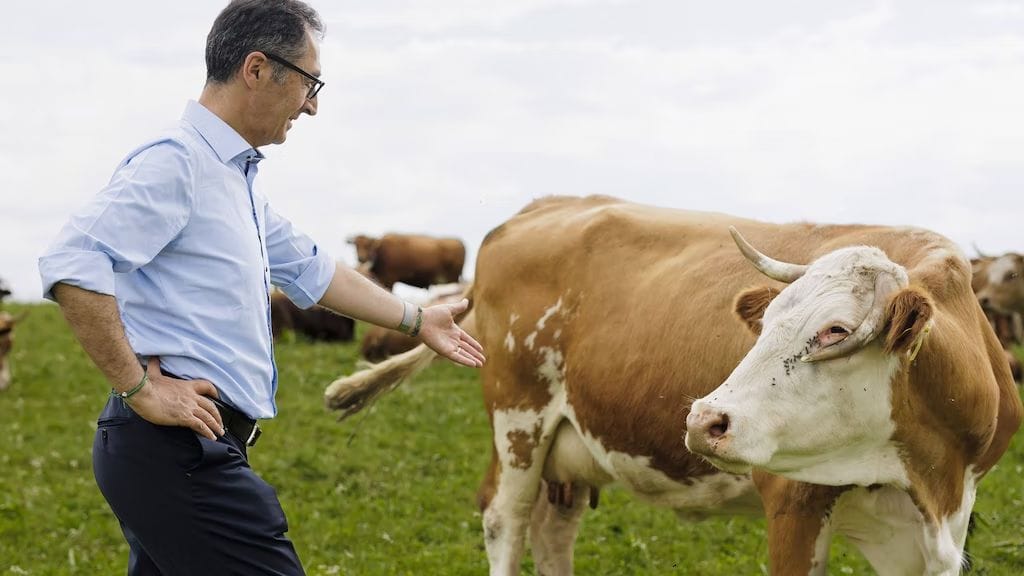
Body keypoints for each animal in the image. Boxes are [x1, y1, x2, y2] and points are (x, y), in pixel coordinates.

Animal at [323, 194, 1019, 569]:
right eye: (766, 321)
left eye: (835, 331)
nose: (703, 419)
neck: (927, 480)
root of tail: (540, 209)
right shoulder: (792, 505)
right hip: (518, 420)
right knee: (506, 520)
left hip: (567, 448)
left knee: (553, 529)